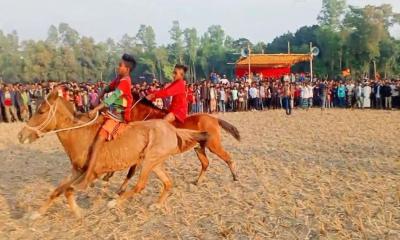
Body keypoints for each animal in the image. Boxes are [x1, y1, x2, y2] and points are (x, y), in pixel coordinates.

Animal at [16, 91, 209, 218]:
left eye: (41, 111)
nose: (21, 135)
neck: (80, 134)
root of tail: (173, 129)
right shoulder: (76, 170)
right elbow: (58, 190)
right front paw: (37, 213)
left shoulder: (91, 173)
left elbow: (68, 190)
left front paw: (79, 212)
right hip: (155, 163)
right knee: (168, 183)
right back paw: (156, 204)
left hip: (149, 161)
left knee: (140, 185)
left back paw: (114, 202)